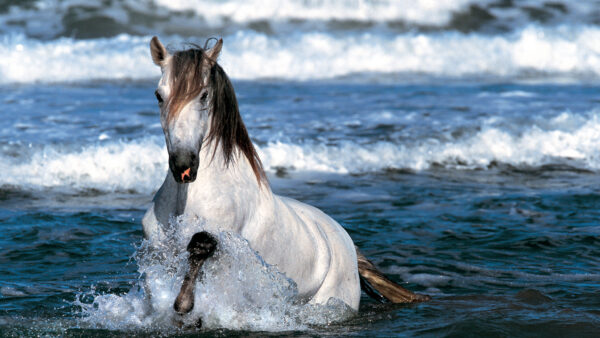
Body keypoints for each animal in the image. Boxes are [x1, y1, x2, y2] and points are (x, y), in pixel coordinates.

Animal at [142, 37, 428, 320]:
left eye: (203, 94)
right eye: (158, 95)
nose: (183, 165)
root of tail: (348, 244)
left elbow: (201, 246)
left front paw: (184, 304)